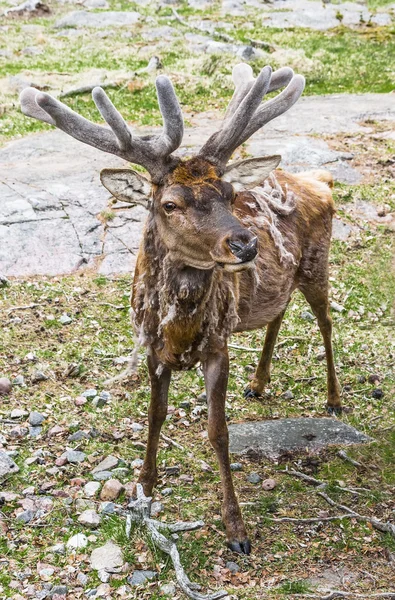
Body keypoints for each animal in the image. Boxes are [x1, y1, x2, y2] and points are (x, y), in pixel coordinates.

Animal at [20, 64, 344, 552]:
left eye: (229, 194)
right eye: (169, 203)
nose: (246, 243)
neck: (181, 331)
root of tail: (320, 182)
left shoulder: (218, 346)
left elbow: (218, 431)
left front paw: (236, 529)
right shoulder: (153, 349)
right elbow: (153, 418)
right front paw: (143, 490)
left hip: (317, 264)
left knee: (325, 322)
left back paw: (334, 399)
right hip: (277, 287)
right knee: (279, 313)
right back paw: (258, 383)